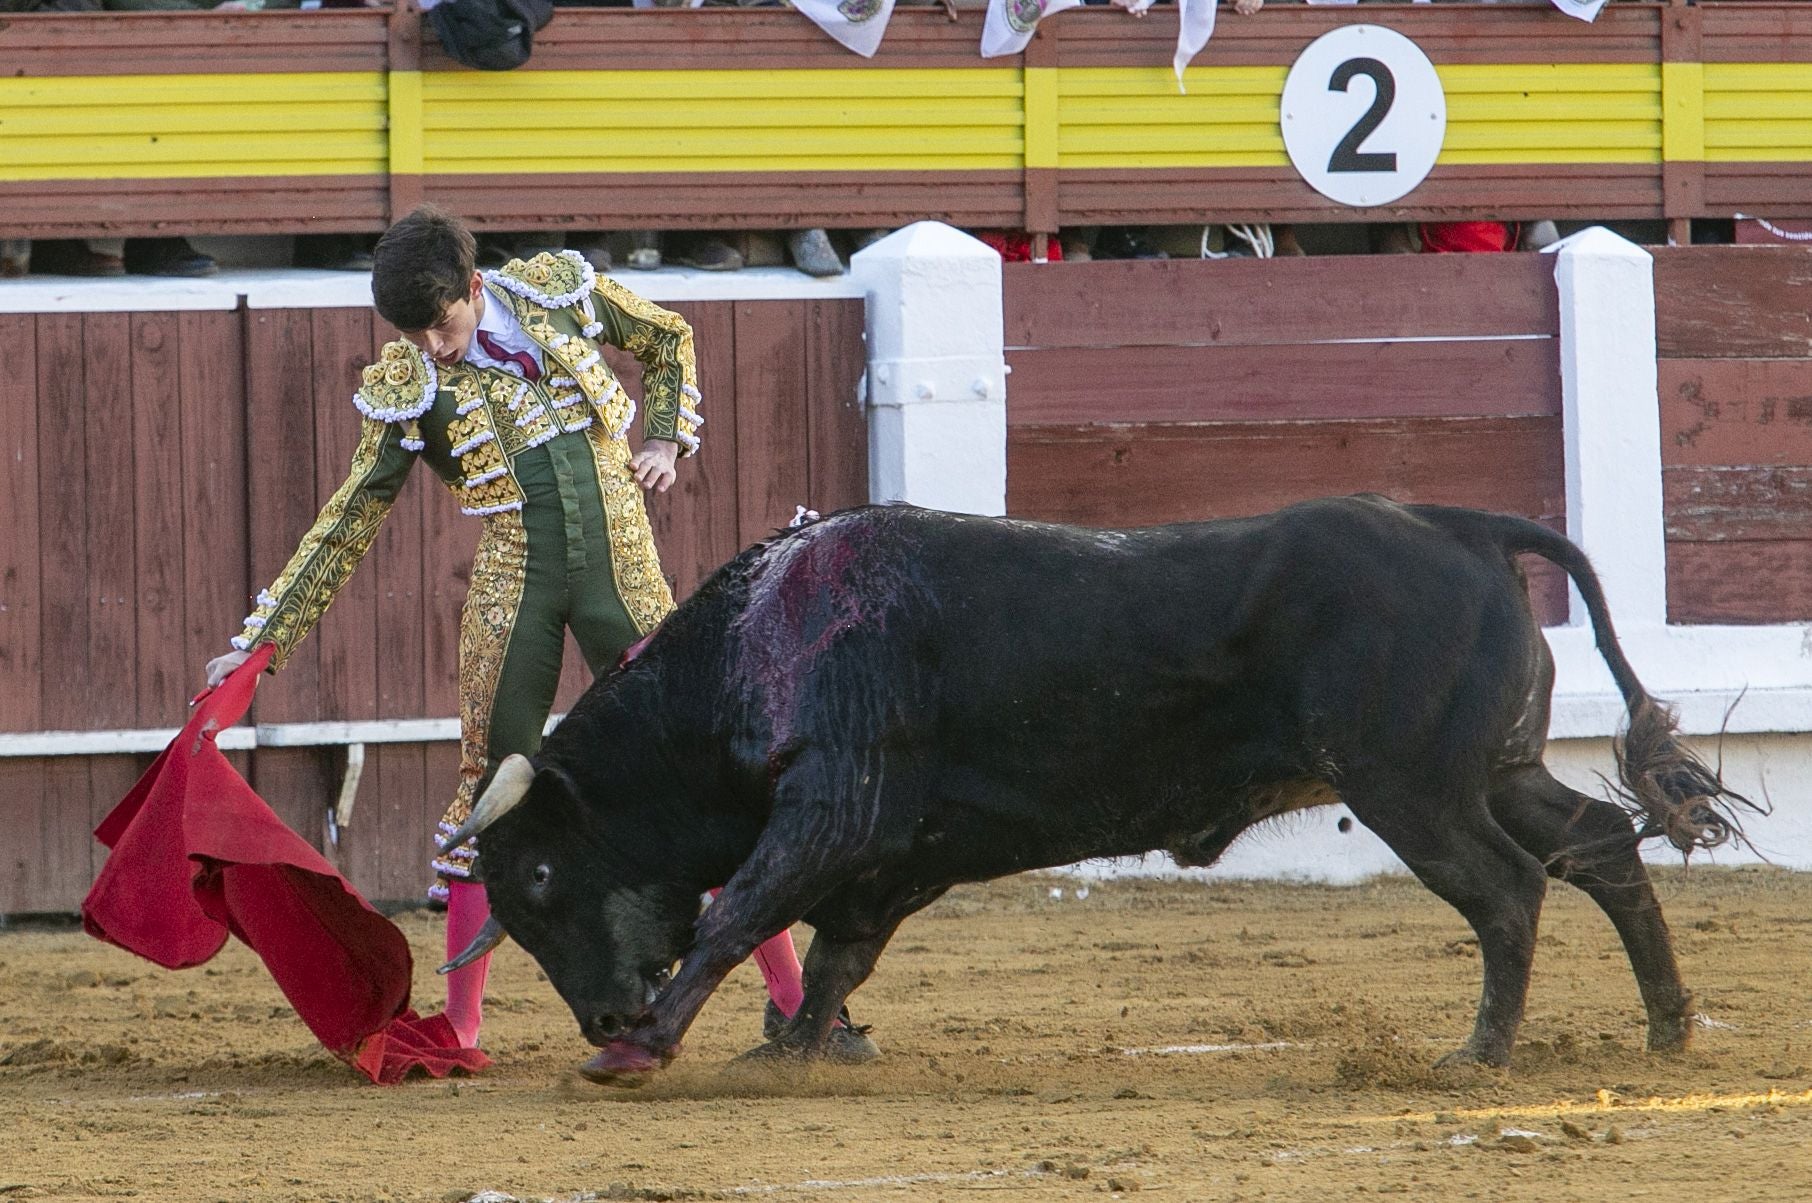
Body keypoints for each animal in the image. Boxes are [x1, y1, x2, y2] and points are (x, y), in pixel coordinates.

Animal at [442, 496, 1754, 1079]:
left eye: (543, 877)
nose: (603, 1019)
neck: (763, 643)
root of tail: (1460, 524)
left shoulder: (833, 811)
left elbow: (740, 916)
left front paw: (648, 1054)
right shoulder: (891, 851)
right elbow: (834, 949)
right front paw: (801, 1049)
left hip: (1410, 787)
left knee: (1507, 890)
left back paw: (1478, 1053)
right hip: (1497, 767)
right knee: (1598, 845)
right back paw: (1667, 1025)